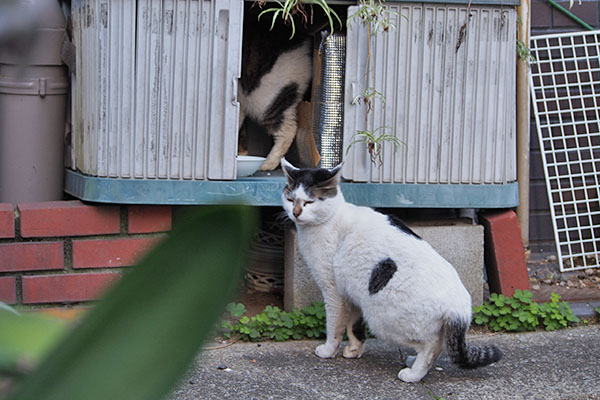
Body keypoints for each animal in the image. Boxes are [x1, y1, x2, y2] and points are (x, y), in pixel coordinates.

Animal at [282, 158, 502, 382]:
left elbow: (334, 326)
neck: (330, 219)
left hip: (384, 318)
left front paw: (328, 351)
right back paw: (414, 363)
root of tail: (460, 308)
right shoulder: (353, 295)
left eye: (309, 202)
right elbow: (354, 327)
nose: (296, 213)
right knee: (439, 344)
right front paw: (354, 350)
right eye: (290, 199)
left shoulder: (333, 291)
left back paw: (412, 374)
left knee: (431, 346)